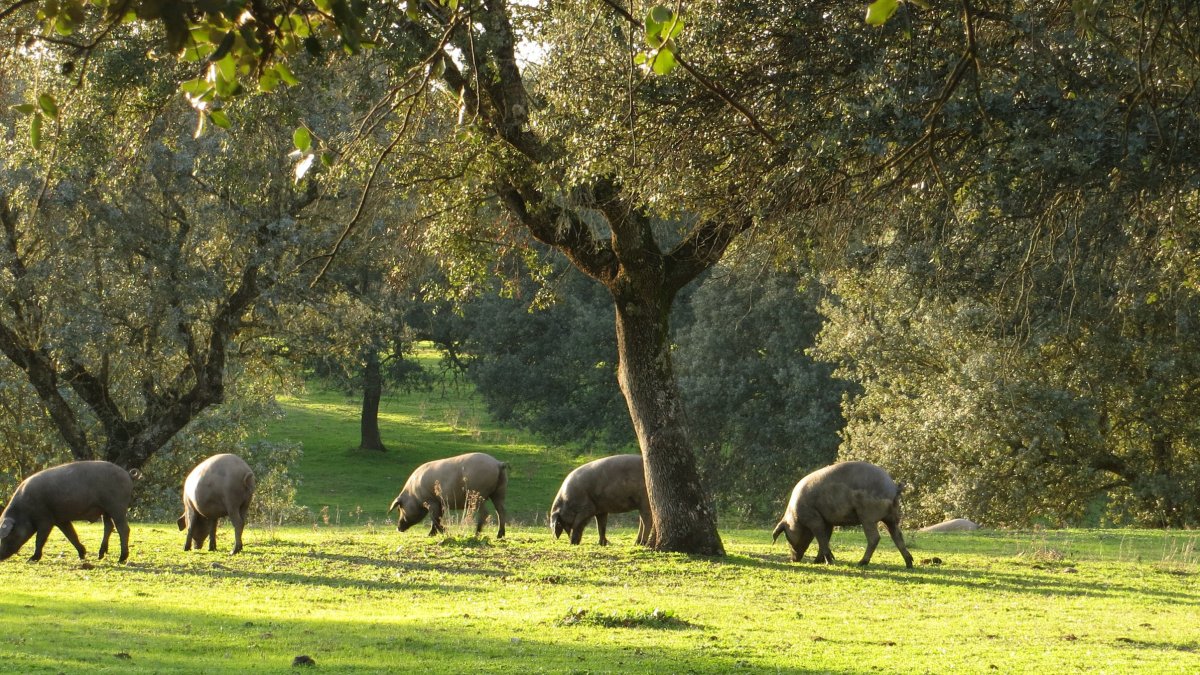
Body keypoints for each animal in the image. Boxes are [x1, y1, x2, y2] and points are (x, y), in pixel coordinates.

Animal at [0, 456, 136, 562]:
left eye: (6, 536)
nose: (0, 557)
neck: (24, 511)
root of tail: (127, 474)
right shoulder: (61, 520)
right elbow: (71, 535)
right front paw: (82, 555)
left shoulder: (45, 520)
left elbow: (40, 539)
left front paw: (31, 559)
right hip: (105, 510)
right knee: (108, 527)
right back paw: (100, 556)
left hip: (117, 506)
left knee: (123, 529)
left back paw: (121, 559)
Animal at [772, 458, 912, 564]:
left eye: (787, 537)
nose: (792, 560)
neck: (795, 515)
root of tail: (893, 487)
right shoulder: (828, 521)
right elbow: (825, 539)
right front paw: (818, 561)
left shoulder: (814, 519)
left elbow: (821, 539)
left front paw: (828, 562)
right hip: (892, 517)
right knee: (898, 536)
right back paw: (909, 563)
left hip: (868, 516)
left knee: (875, 538)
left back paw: (861, 563)